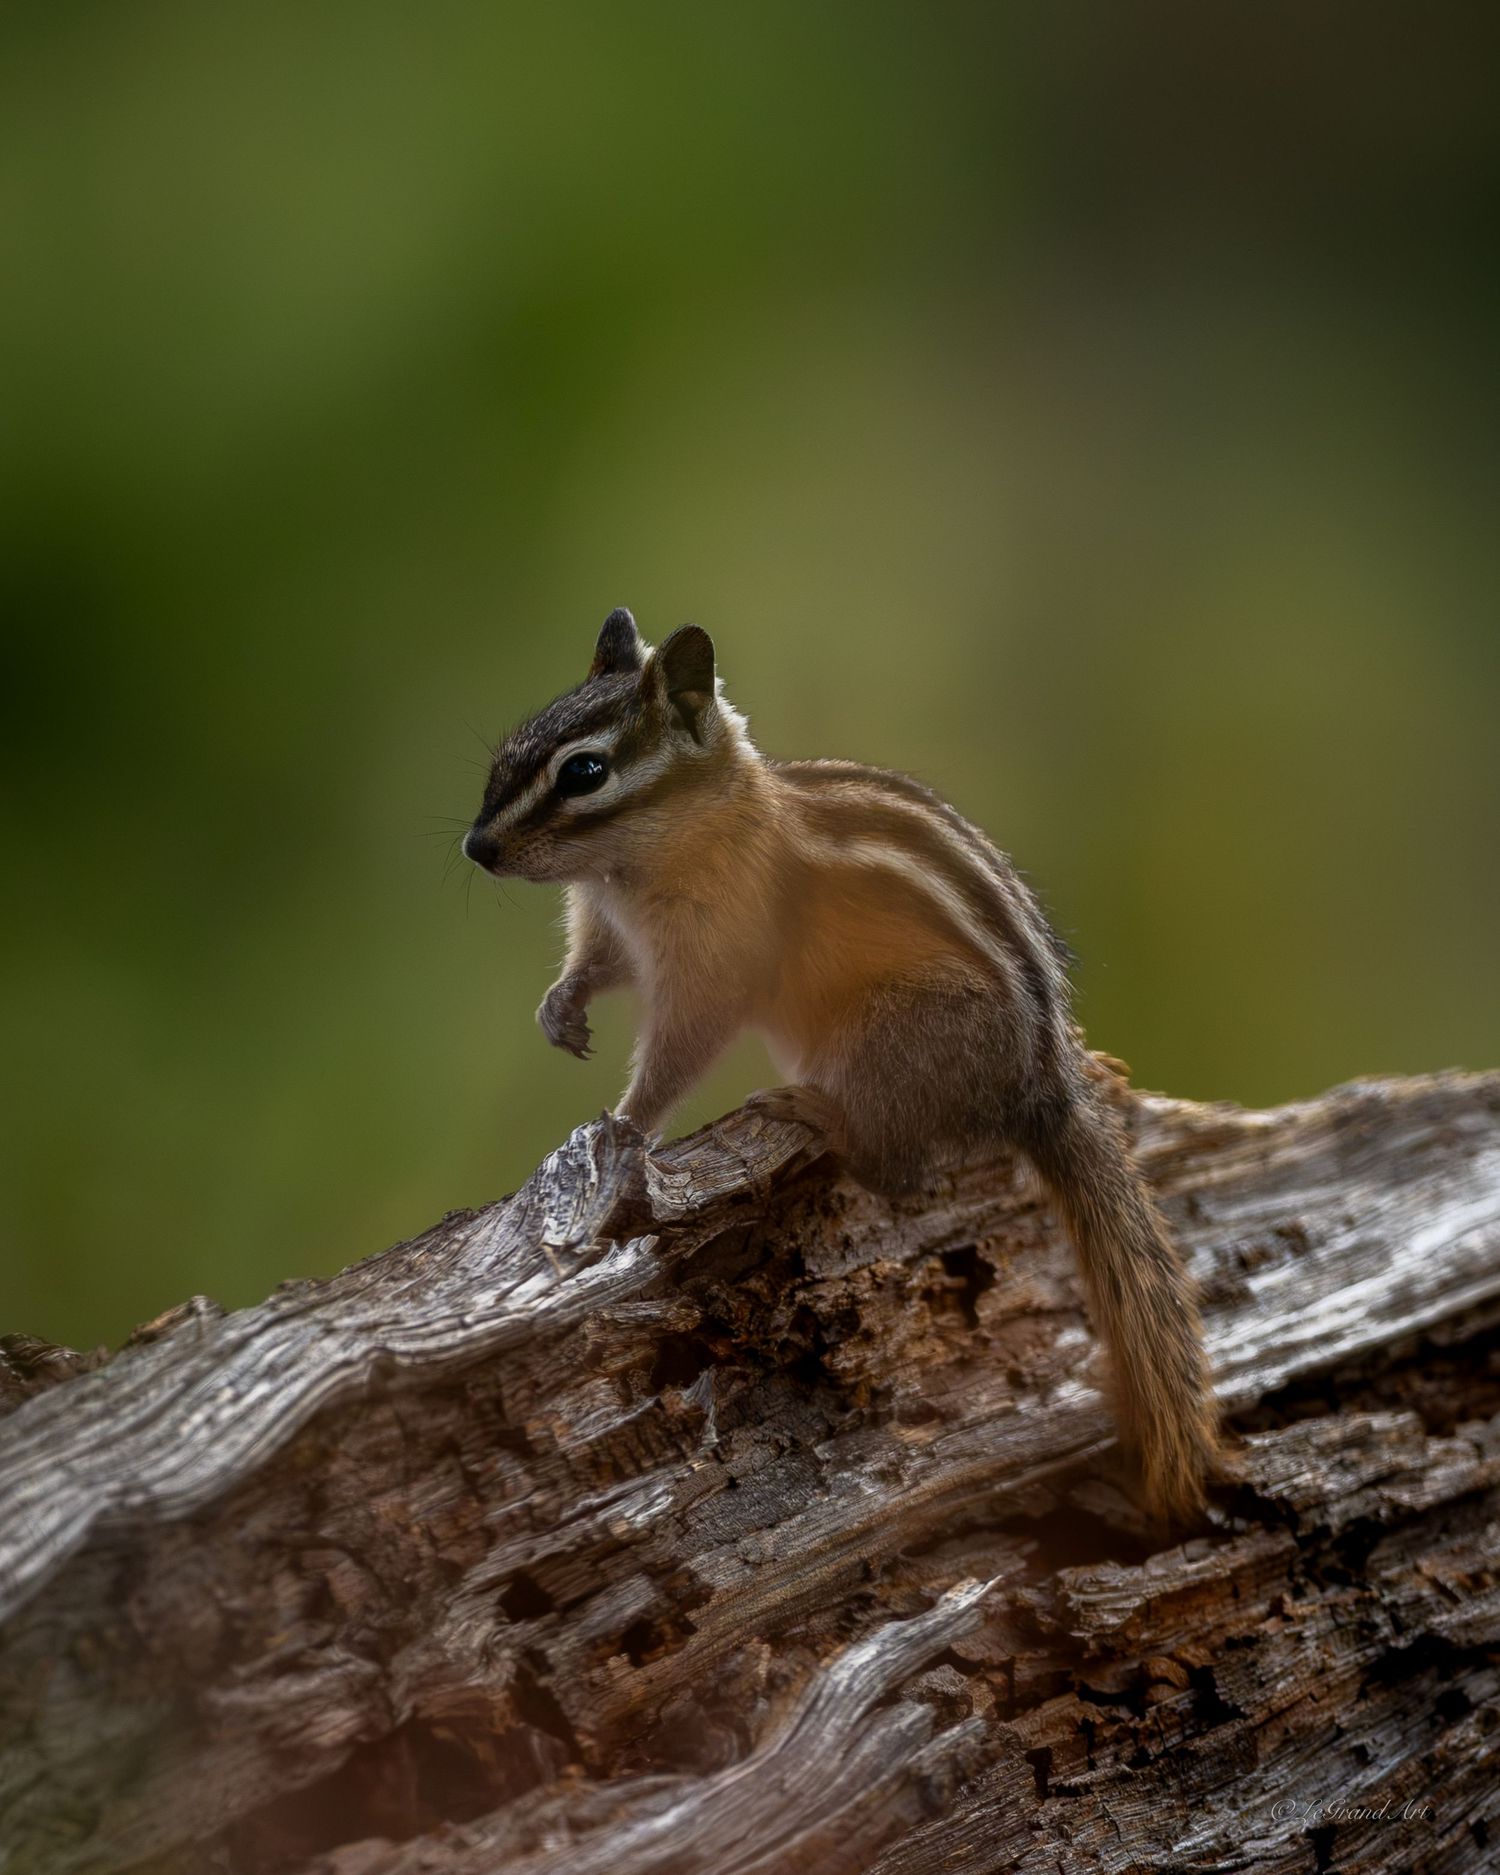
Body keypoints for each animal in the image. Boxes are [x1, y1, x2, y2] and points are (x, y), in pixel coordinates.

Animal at [463, 608, 1219, 1521]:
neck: (650, 855)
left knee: (898, 1170)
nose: (475, 847)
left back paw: (817, 1112)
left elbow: (683, 1046)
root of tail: (1041, 1086)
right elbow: (598, 963)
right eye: (510, 750)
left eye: (584, 771)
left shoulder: (717, 958)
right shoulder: (612, 923)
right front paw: (561, 1007)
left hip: (882, 1036)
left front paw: (628, 1126)